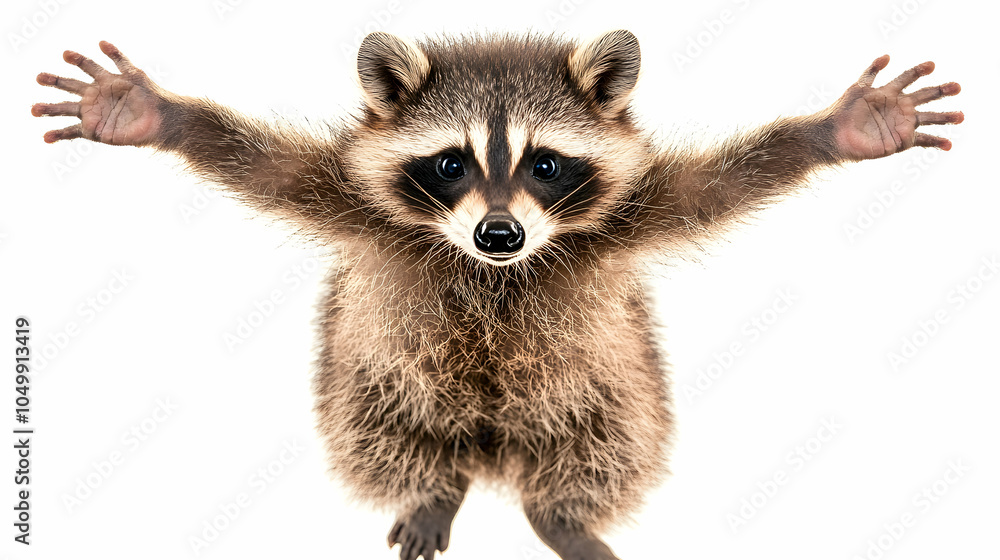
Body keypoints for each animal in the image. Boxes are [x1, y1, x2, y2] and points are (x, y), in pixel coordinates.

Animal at [32, 31, 962, 560]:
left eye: (545, 164)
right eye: (452, 163)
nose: (500, 234)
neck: (495, 275)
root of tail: (492, 452)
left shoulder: (622, 221)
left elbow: (713, 187)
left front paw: (837, 130)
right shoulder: (357, 207)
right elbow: (267, 167)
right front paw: (156, 113)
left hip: (611, 390)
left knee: (607, 444)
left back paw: (562, 516)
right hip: (365, 380)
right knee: (383, 428)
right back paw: (433, 487)